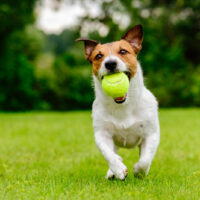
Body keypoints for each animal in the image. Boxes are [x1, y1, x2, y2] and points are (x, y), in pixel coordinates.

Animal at [76, 24, 160, 180]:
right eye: (98, 56)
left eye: (123, 51)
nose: (110, 63)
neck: (123, 106)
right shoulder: (102, 134)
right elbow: (108, 154)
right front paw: (118, 169)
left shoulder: (151, 134)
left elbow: (145, 160)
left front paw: (139, 171)